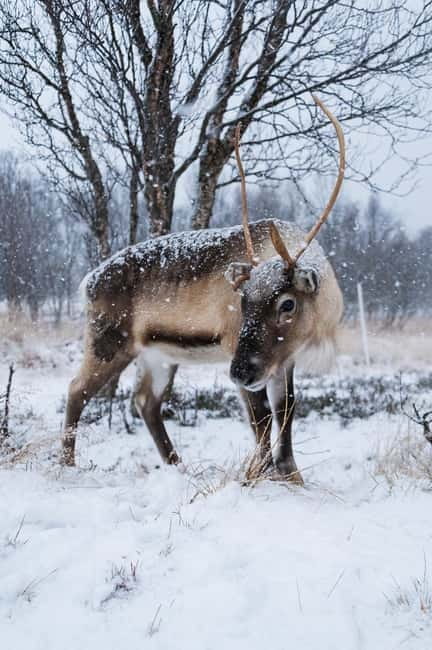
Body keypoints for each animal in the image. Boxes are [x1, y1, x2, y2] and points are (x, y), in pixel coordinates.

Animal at [62, 95, 344, 485]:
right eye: (242, 299)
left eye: (287, 304)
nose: (239, 372)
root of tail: (86, 281)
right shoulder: (235, 348)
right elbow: (261, 417)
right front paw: (256, 475)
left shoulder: (282, 359)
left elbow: (286, 409)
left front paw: (292, 476)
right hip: (109, 340)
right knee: (77, 389)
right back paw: (66, 463)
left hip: (158, 355)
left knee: (145, 401)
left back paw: (178, 466)